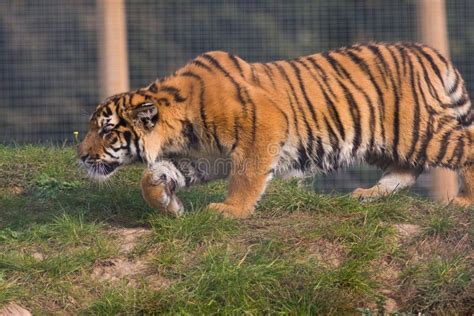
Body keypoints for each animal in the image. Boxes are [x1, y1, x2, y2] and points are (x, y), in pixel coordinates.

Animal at [78, 42, 474, 217]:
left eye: (107, 132)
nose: (80, 156)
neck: (179, 128)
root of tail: (429, 52)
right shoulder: (205, 158)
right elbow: (155, 175)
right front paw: (168, 204)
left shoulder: (263, 128)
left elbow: (247, 177)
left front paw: (230, 210)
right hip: (384, 141)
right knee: (406, 170)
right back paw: (367, 195)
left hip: (415, 130)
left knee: (466, 146)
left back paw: (465, 201)